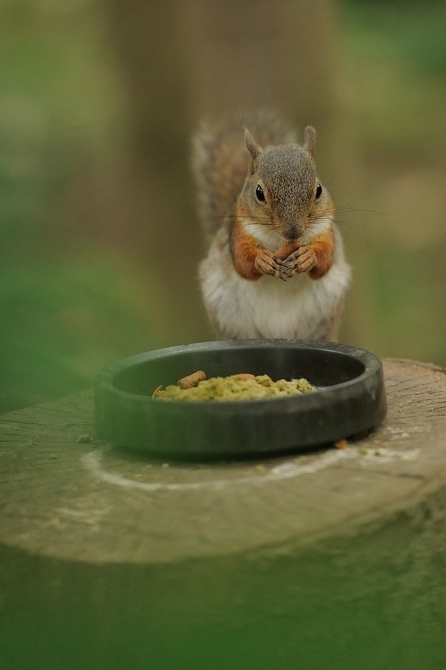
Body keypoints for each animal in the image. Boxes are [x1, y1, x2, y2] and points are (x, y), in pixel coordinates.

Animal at [192, 113, 352, 342]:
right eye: (259, 193)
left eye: (319, 190)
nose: (293, 232)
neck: (280, 241)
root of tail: (279, 335)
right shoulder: (238, 231)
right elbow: (243, 262)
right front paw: (263, 260)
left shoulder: (325, 228)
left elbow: (324, 260)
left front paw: (308, 256)